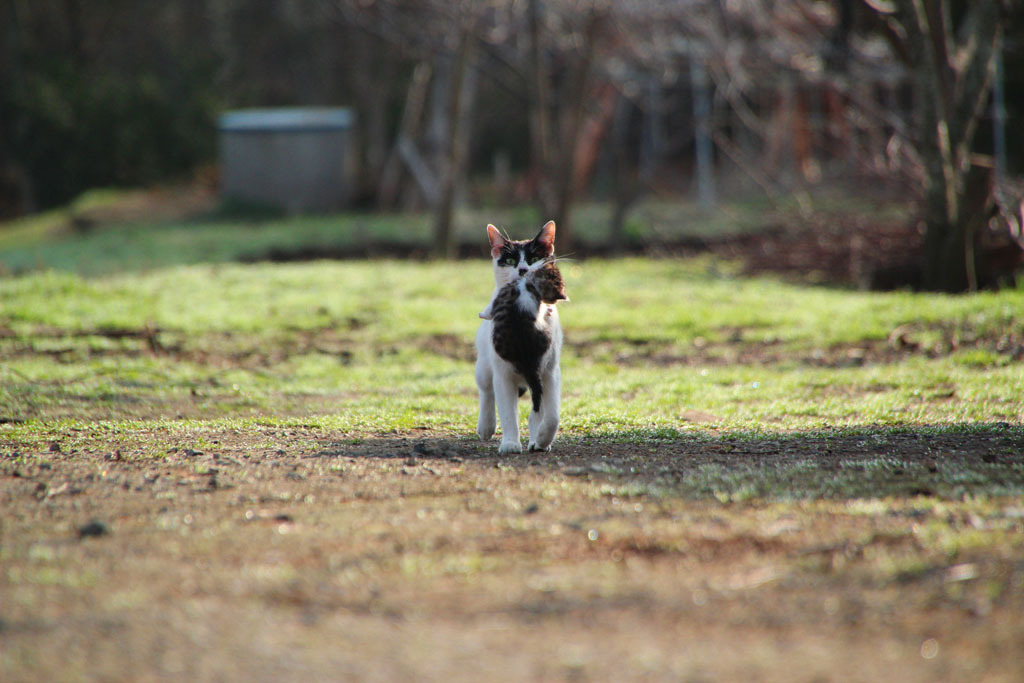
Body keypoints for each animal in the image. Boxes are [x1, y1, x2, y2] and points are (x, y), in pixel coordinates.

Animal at [473, 220, 565, 454]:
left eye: (533, 259)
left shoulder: (549, 372)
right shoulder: (503, 374)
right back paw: (486, 425)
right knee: (486, 391)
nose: (522, 269)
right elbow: (507, 412)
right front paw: (510, 443)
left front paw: (542, 439)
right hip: (484, 365)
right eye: (511, 261)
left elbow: (551, 415)